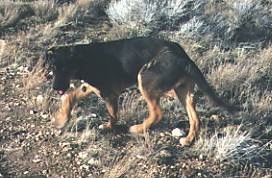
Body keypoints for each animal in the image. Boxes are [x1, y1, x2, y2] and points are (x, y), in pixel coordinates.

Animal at [46, 37, 238, 146]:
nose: (55, 88)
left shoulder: (108, 93)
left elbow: (113, 115)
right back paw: (189, 139)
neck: (82, 58)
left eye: (65, 69)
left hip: (144, 78)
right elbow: (70, 97)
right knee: (195, 118)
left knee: (157, 113)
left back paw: (138, 128)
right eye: (53, 68)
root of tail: (182, 57)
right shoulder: (89, 87)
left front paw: (107, 127)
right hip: (182, 90)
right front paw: (61, 119)